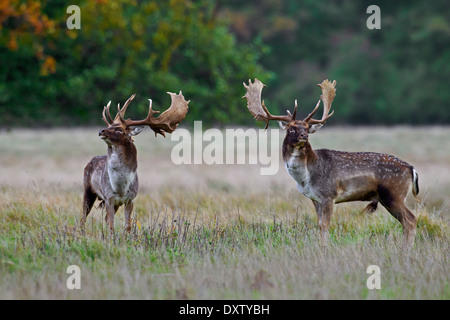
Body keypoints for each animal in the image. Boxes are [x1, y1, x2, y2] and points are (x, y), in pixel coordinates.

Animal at [81, 91, 190, 234]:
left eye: (120, 130)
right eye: (110, 126)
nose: (101, 131)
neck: (120, 188)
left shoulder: (130, 199)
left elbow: (127, 226)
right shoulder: (109, 197)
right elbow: (111, 226)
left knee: (102, 218)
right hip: (88, 189)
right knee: (83, 217)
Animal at [244, 79, 420, 248]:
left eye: (306, 128)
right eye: (291, 128)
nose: (304, 136)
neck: (306, 177)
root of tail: (411, 169)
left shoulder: (329, 195)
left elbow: (325, 225)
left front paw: (325, 249)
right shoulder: (315, 198)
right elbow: (319, 224)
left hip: (394, 194)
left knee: (411, 220)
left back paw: (405, 250)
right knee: (408, 221)